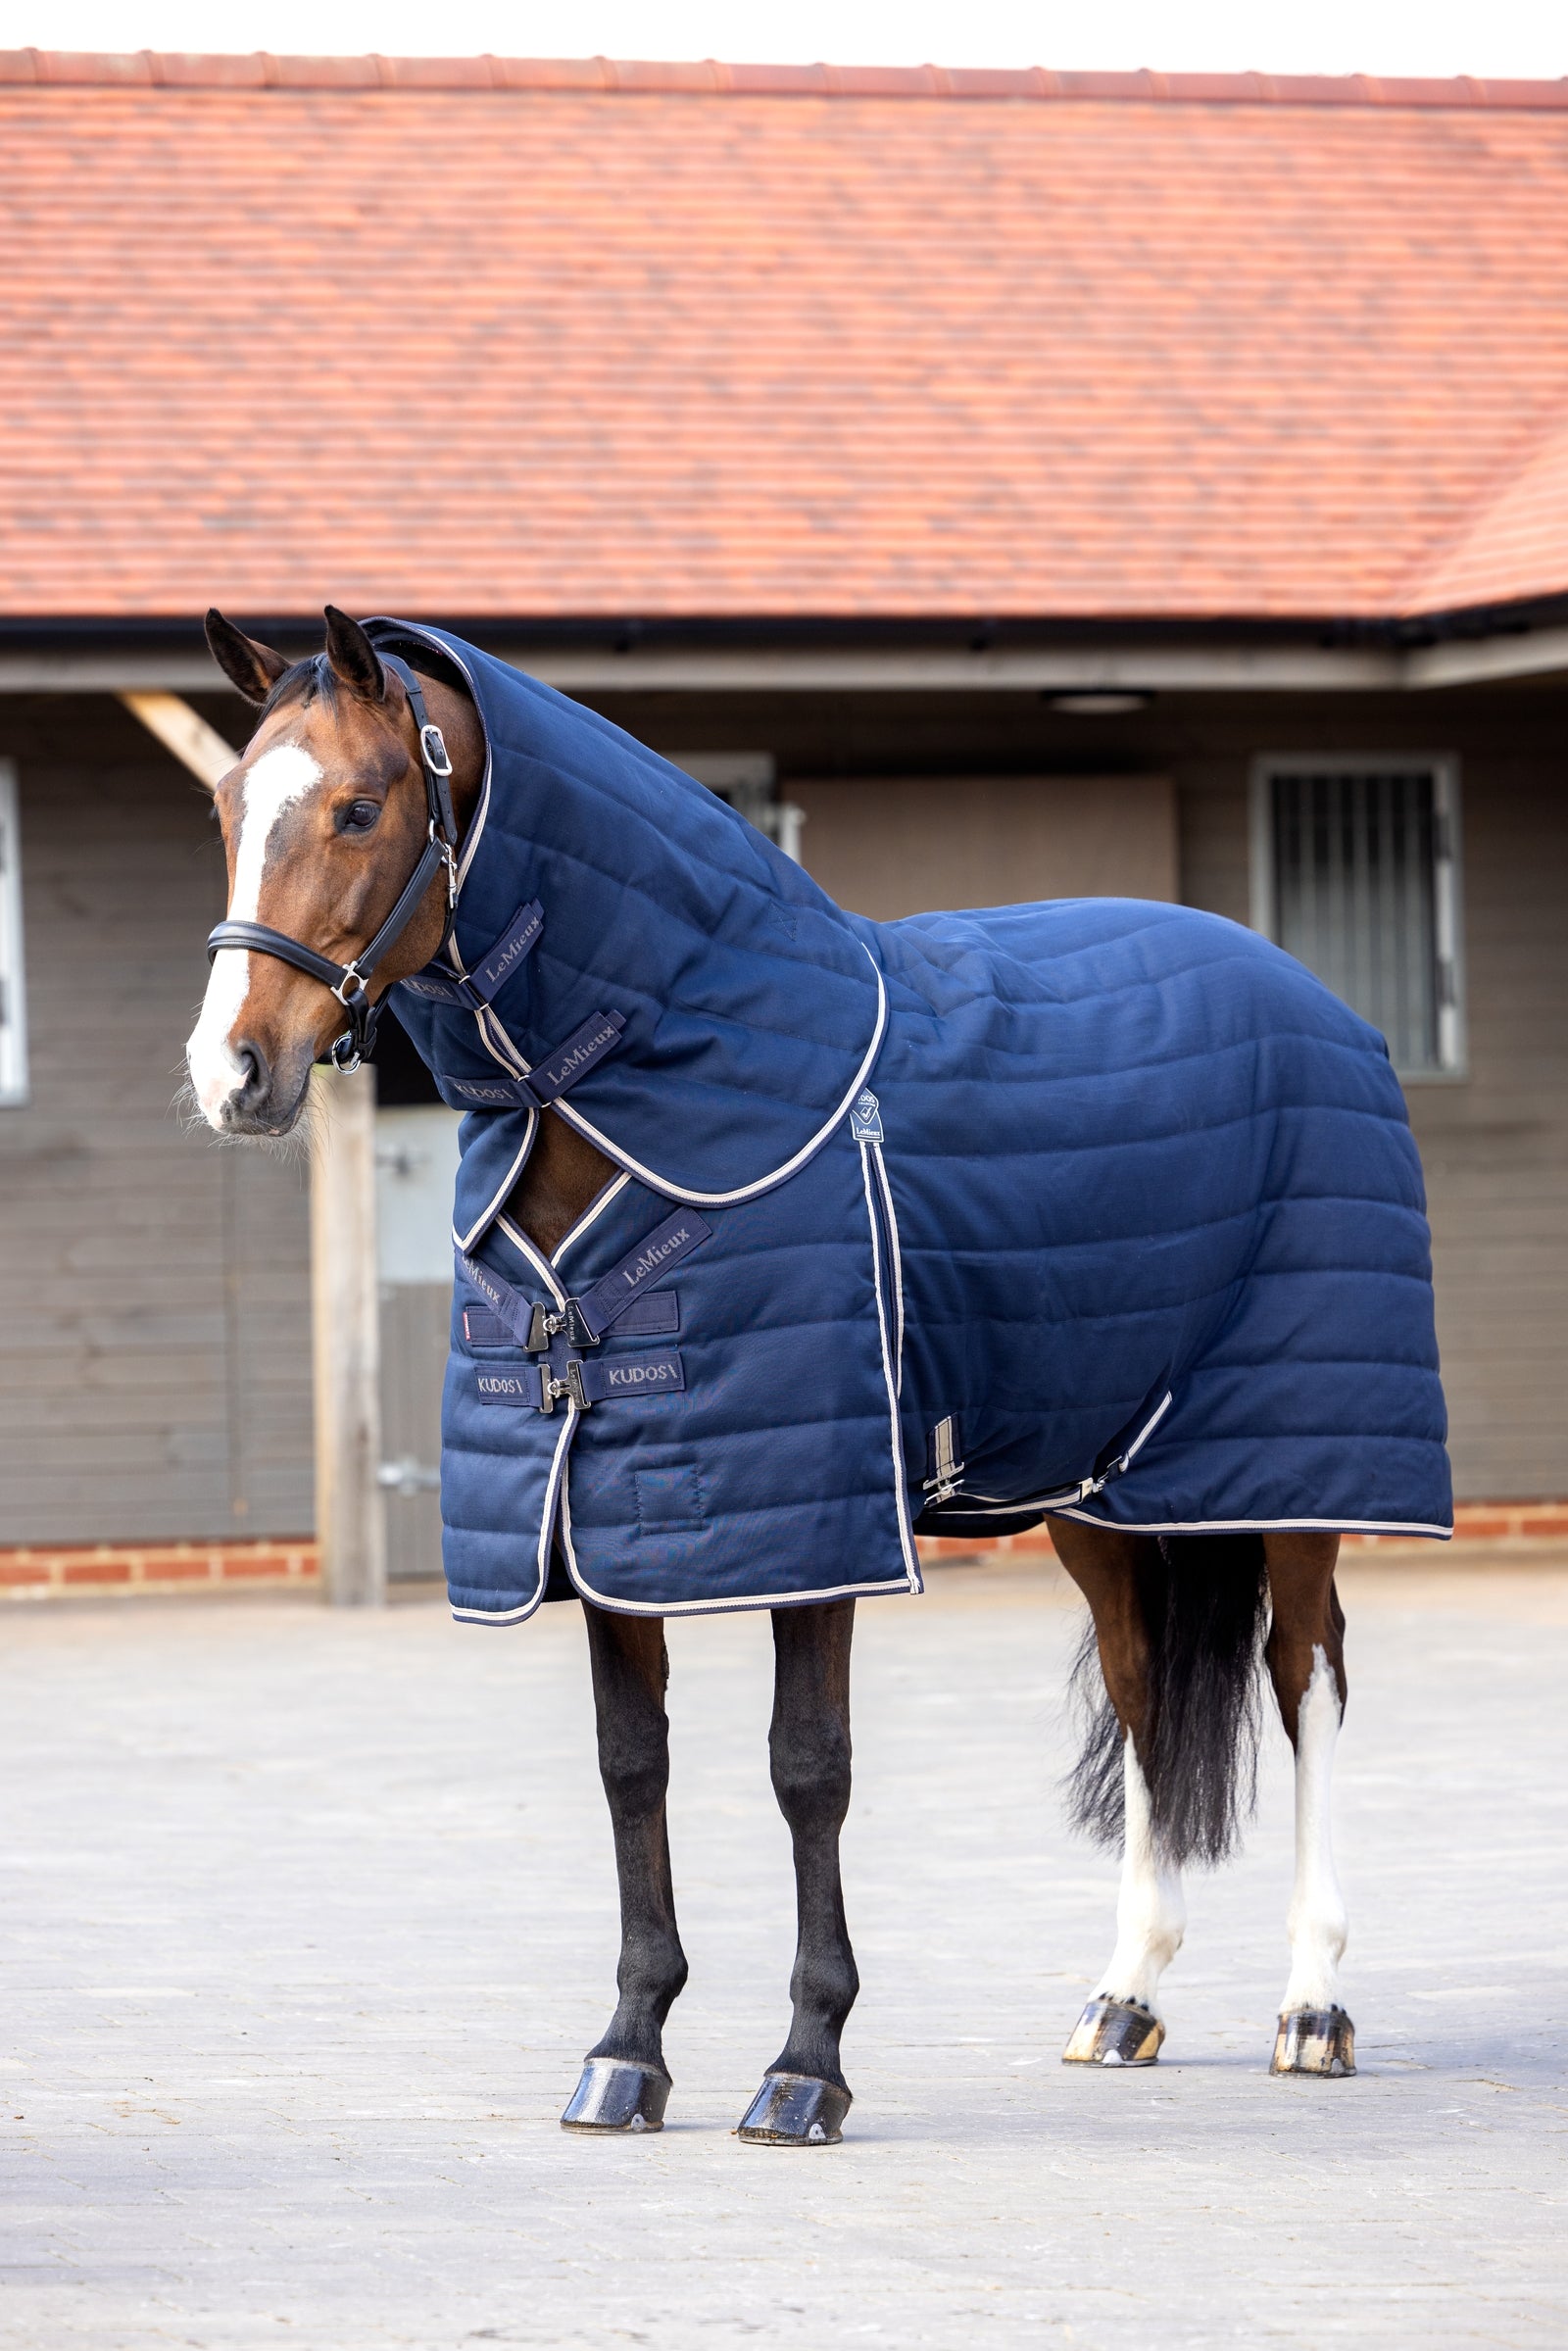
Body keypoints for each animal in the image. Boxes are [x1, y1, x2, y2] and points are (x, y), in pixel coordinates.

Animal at [186, 605, 1450, 2139]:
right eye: (225, 805)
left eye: (361, 808)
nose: (231, 1070)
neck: (682, 1085)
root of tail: (1316, 1001)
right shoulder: (605, 1514)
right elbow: (632, 1763)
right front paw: (628, 2050)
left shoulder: (817, 1518)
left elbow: (807, 1769)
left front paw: (804, 2064)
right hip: (1100, 1489)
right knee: (1149, 1686)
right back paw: (1123, 1995)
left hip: (1297, 1470)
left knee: (1304, 1676)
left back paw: (1312, 2004)